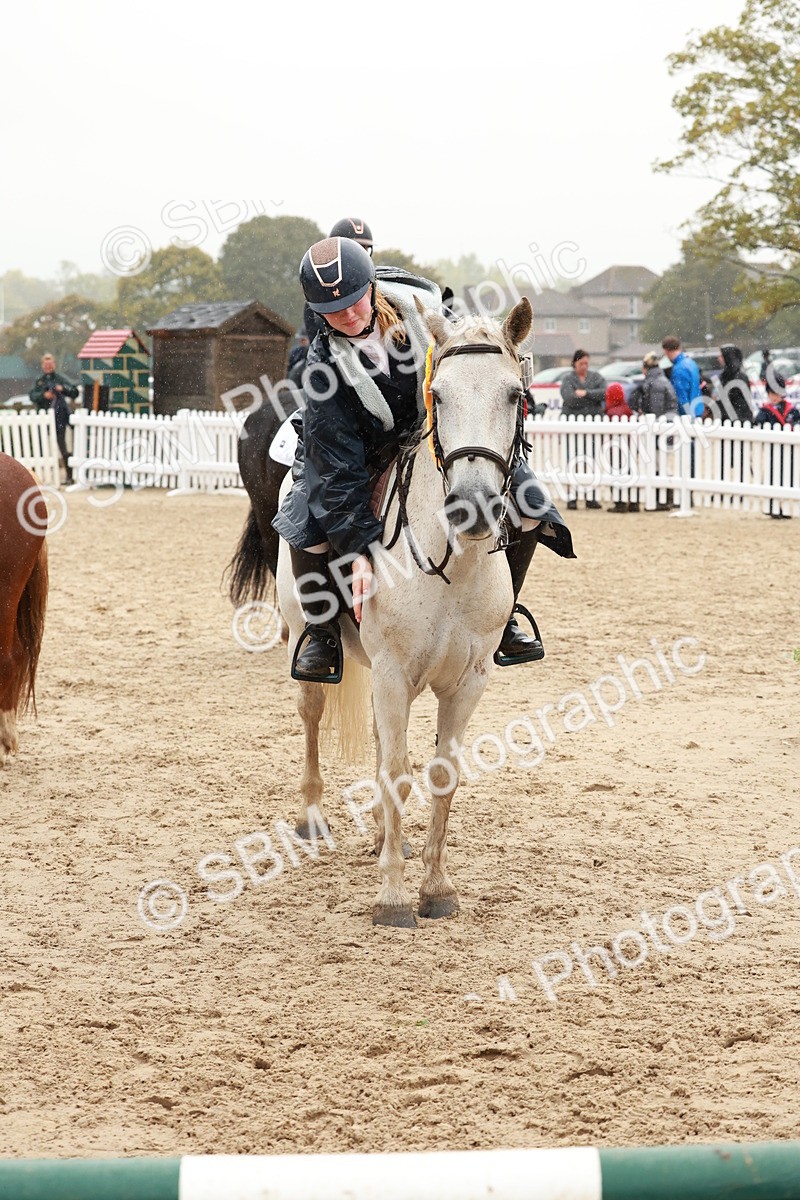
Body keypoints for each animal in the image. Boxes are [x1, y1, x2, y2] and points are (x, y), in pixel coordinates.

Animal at [247, 297, 534, 927]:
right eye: (439, 396)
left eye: (513, 395)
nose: (473, 506)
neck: (453, 564)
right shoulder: (394, 672)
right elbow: (398, 773)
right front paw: (394, 897)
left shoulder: (467, 681)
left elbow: (441, 774)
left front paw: (436, 887)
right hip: (313, 643)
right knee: (312, 717)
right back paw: (313, 817)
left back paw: (384, 833)